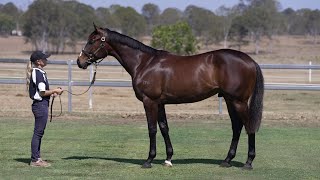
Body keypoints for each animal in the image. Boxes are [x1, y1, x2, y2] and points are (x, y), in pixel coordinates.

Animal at [76, 24, 264, 169]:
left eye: (92, 41)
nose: (80, 61)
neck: (144, 63)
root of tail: (250, 61)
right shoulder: (160, 103)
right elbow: (164, 127)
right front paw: (168, 159)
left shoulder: (149, 102)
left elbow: (152, 129)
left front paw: (149, 160)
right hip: (229, 100)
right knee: (237, 127)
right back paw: (227, 160)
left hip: (238, 102)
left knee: (249, 126)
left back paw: (248, 162)